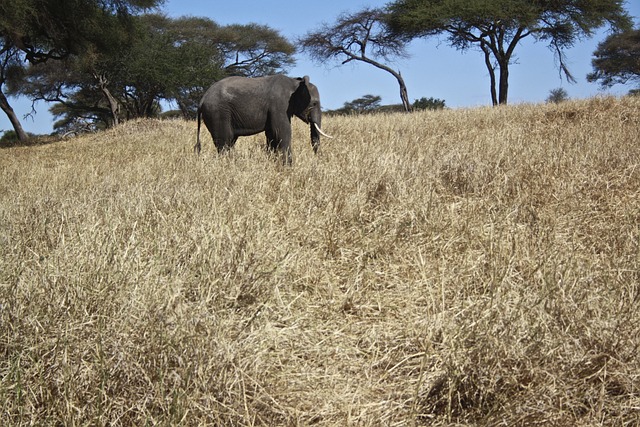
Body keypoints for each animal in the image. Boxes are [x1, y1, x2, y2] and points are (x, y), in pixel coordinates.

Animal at [194, 74, 336, 163]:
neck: (295, 83)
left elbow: (272, 135)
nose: (317, 159)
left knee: (229, 141)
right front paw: (288, 167)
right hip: (218, 112)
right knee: (225, 141)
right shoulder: (279, 105)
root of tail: (202, 100)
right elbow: (282, 132)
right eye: (314, 104)